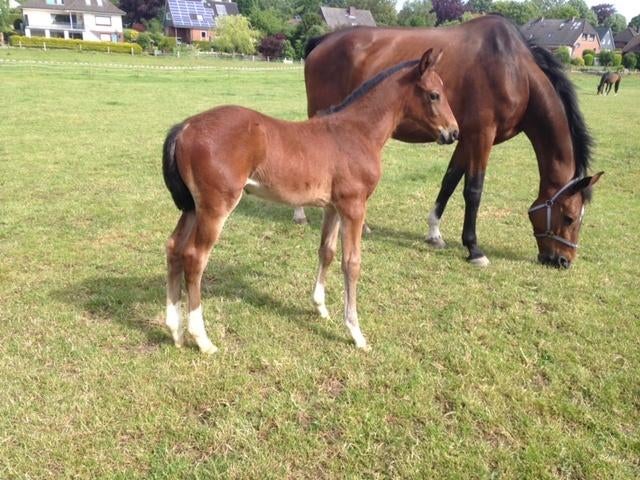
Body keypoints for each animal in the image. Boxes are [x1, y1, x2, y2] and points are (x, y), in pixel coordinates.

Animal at [162, 49, 459, 353]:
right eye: (434, 94)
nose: (453, 132)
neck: (358, 132)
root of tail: (185, 127)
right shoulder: (354, 207)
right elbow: (352, 263)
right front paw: (356, 332)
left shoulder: (333, 207)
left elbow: (326, 251)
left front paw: (320, 307)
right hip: (215, 207)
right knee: (195, 258)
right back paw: (202, 338)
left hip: (193, 207)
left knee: (174, 248)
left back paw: (175, 330)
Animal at [294, 15, 603, 268]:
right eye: (569, 217)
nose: (563, 261)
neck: (515, 70)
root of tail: (323, 41)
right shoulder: (482, 135)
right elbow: (473, 190)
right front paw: (474, 249)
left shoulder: (464, 136)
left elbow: (450, 180)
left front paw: (434, 233)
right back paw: (300, 214)